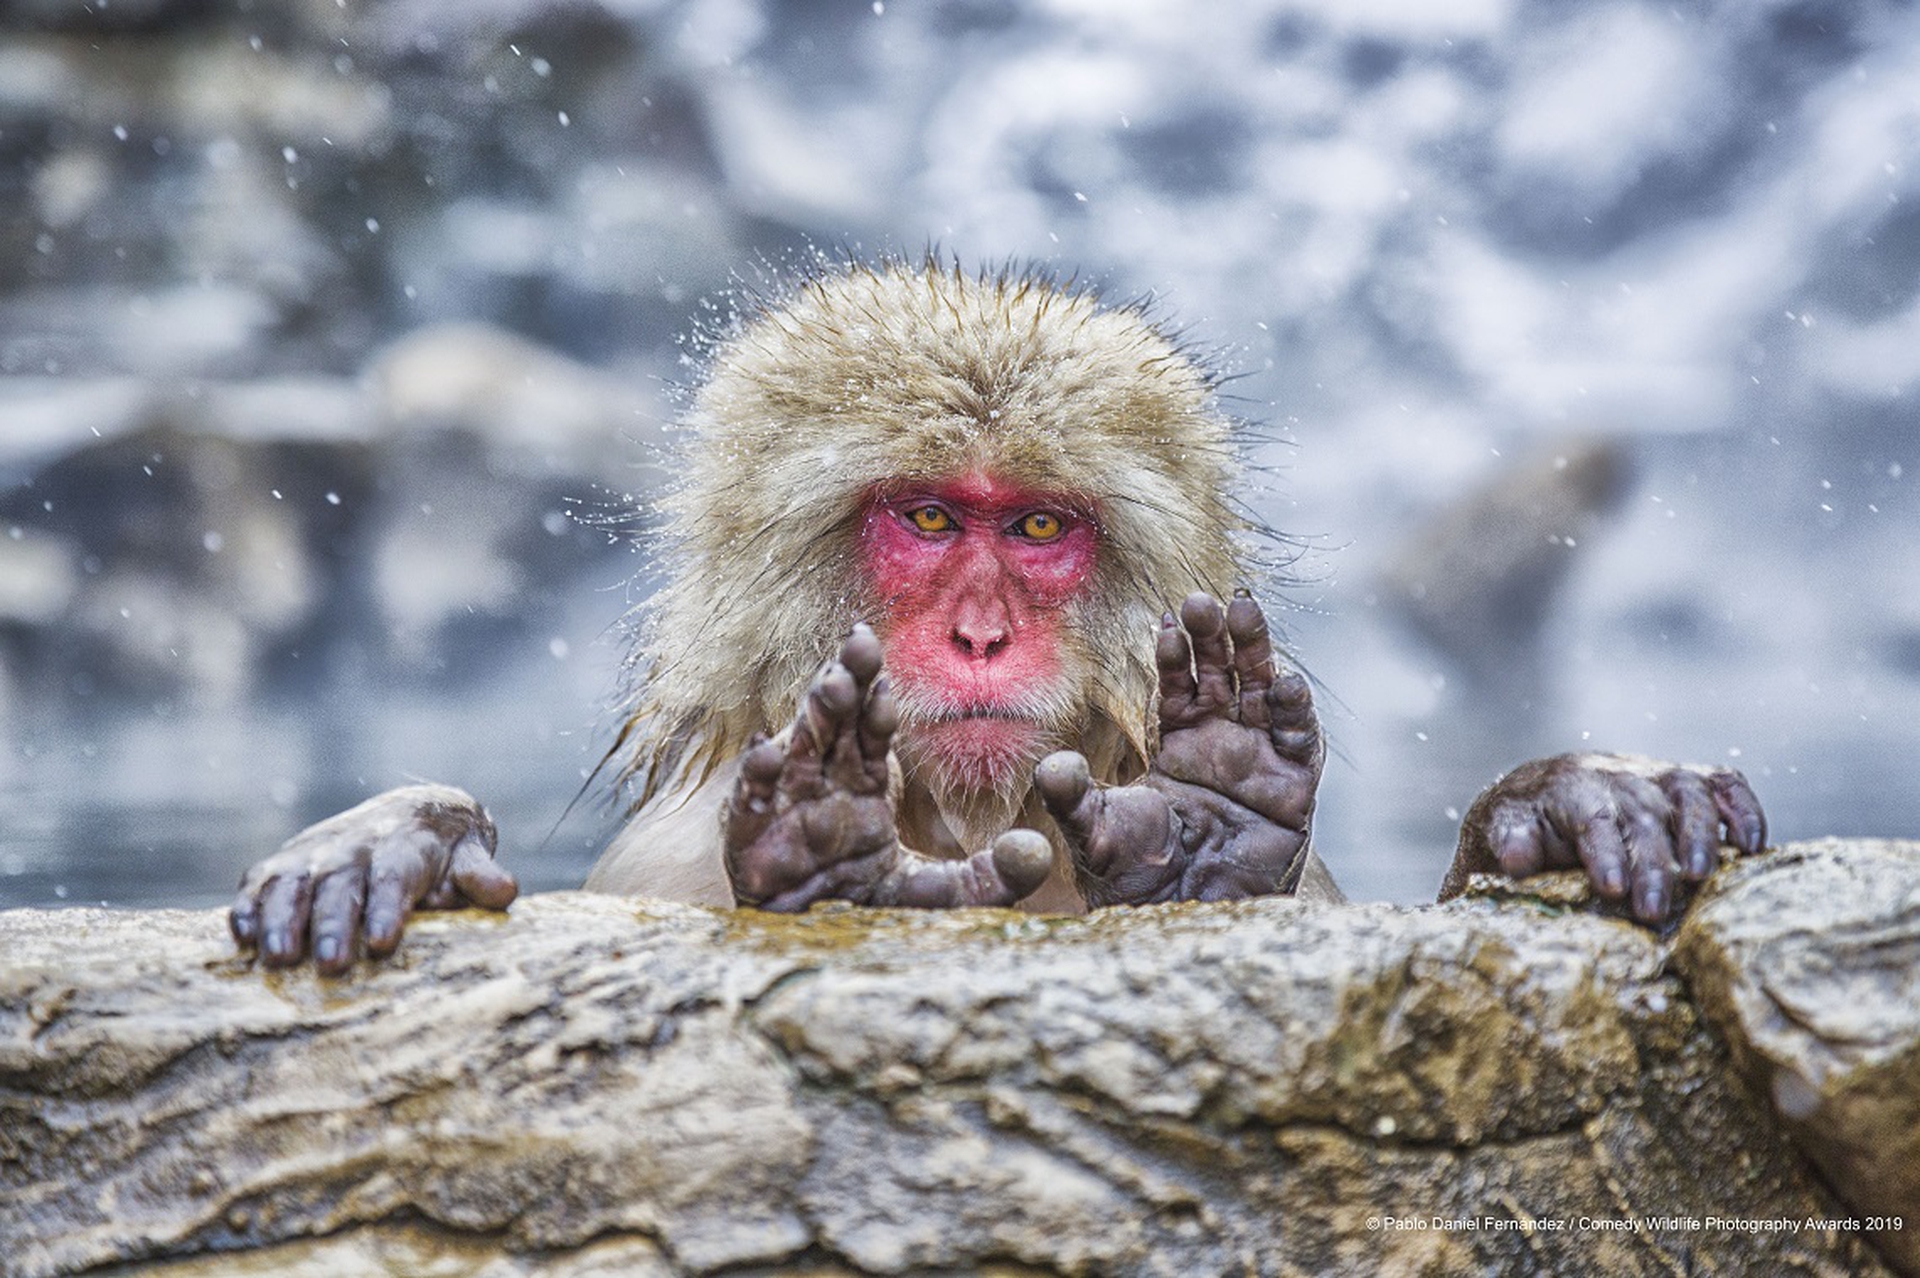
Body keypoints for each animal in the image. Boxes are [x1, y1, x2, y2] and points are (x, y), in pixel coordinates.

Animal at [228, 259, 1768, 975]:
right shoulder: (659, 868)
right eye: (926, 520)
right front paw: (399, 843)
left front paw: (1570, 797)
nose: (978, 637)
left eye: (1033, 528)